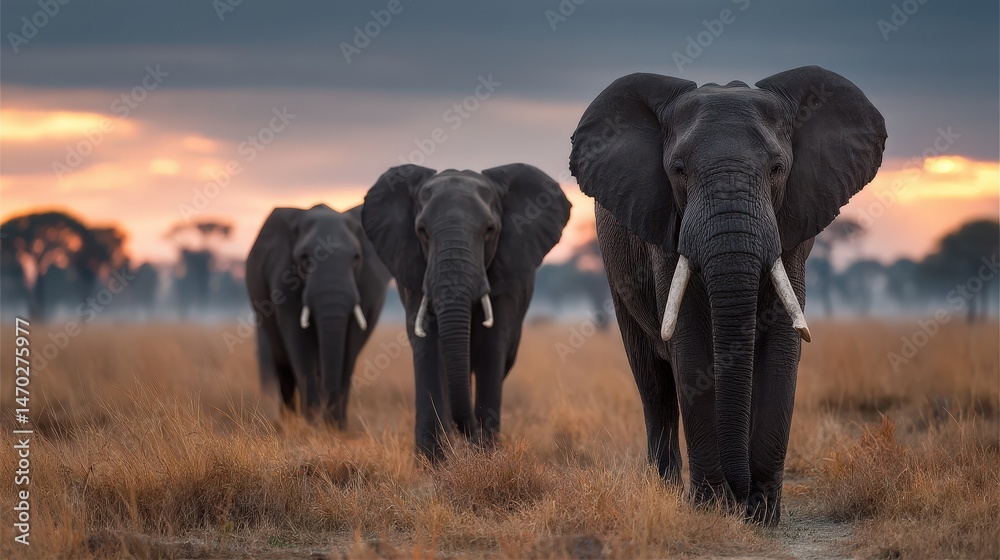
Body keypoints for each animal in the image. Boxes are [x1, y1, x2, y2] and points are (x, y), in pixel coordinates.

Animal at [246, 203, 390, 428]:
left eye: (356, 257)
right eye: (305, 258)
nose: (328, 419)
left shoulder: (366, 284)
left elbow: (350, 345)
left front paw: (336, 426)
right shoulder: (283, 279)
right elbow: (299, 339)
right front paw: (313, 424)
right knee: (283, 362)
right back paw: (287, 422)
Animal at [361, 164, 571, 459]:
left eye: (490, 230)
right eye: (422, 231)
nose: (469, 433)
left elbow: (493, 346)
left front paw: (487, 455)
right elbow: (427, 345)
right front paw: (432, 460)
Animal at [569, 66, 886, 525]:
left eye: (777, 168)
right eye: (678, 169)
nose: (740, 496)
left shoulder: (792, 230)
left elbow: (781, 345)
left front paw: (761, 513)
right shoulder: (667, 228)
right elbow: (690, 343)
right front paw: (712, 508)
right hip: (615, 271)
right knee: (653, 382)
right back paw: (668, 490)